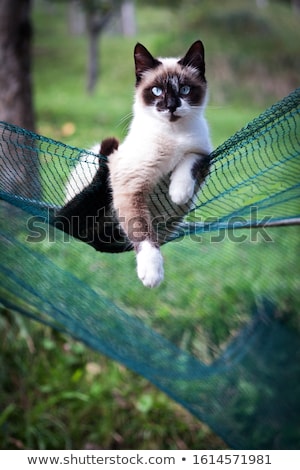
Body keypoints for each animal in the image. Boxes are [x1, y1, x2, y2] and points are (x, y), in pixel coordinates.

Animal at [56, 41, 211, 286]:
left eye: (185, 90)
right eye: (157, 91)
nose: (171, 106)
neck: (173, 135)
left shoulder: (203, 152)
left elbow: (188, 162)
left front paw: (178, 193)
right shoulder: (131, 186)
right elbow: (142, 231)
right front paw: (152, 273)